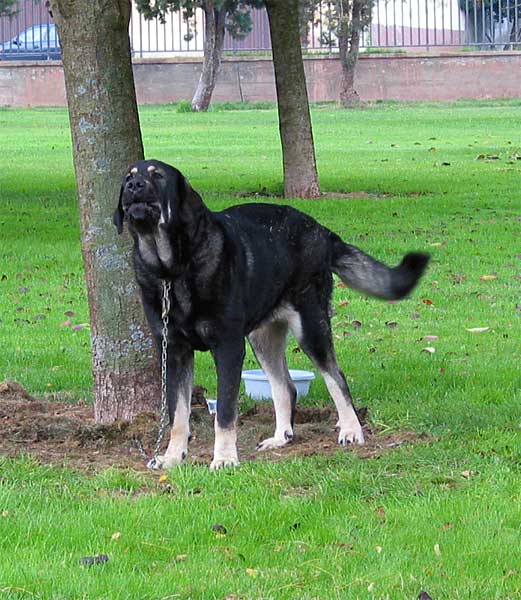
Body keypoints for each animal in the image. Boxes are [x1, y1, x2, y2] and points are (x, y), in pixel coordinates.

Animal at [112, 159, 426, 468]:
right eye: (128, 177)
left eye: (159, 176)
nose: (133, 185)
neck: (172, 270)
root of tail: (322, 231)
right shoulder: (174, 350)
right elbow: (177, 415)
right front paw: (172, 457)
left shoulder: (227, 346)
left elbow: (225, 412)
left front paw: (224, 458)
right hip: (262, 337)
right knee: (286, 387)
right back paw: (280, 437)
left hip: (310, 326)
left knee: (336, 377)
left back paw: (351, 430)